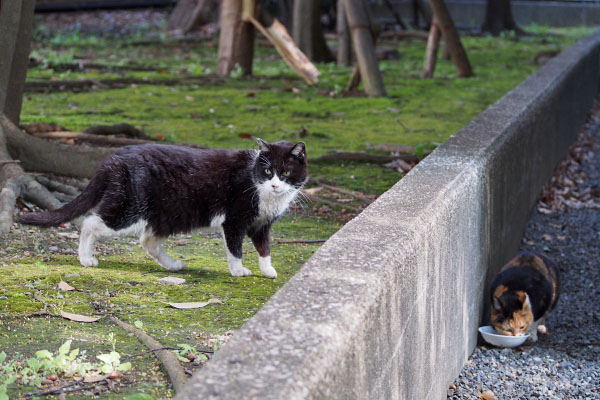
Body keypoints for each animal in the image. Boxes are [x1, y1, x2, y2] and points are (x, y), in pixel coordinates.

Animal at [18, 138, 310, 278]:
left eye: (285, 172)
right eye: (268, 171)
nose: (275, 185)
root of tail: (113, 158)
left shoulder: (263, 224)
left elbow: (264, 247)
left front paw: (268, 270)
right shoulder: (235, 219)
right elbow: (235, 248)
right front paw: (238, 270)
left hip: (168, 213)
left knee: (147, 240)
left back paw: (173, 265)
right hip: (131, 208)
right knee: (90, 222)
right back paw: (85, 258)